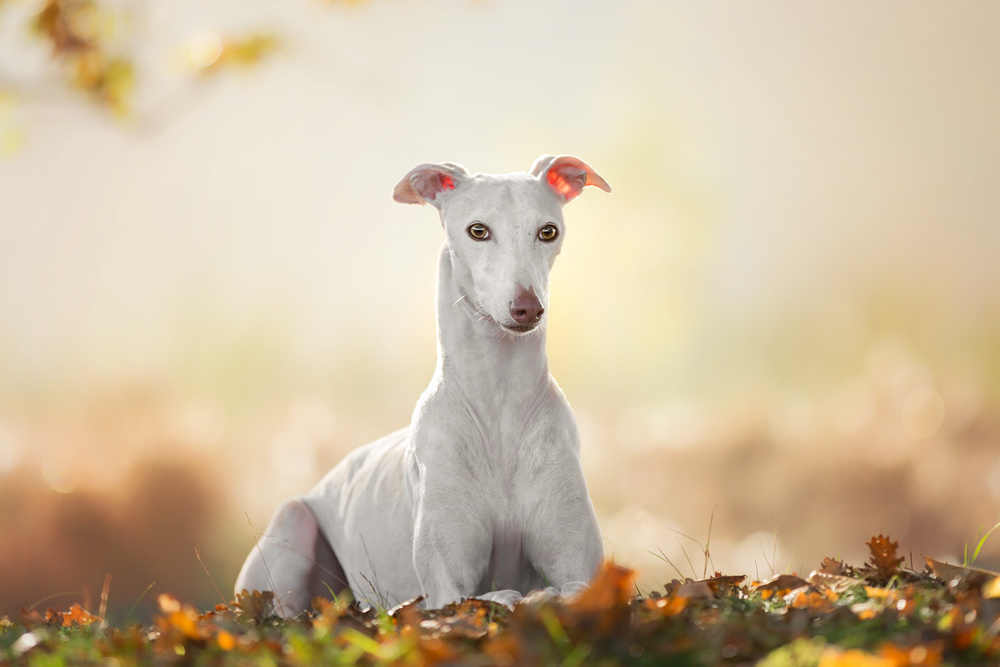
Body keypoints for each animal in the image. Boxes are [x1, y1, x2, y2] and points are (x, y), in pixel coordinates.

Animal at [235, 155, 611, 616]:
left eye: (548, 231)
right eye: (478, 230)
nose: (527, 308)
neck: (499, 406)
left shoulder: (582, 568)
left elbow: (573, 588)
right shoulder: (447, 589)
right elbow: (490, 594)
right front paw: (521, 596)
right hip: (294, 522)